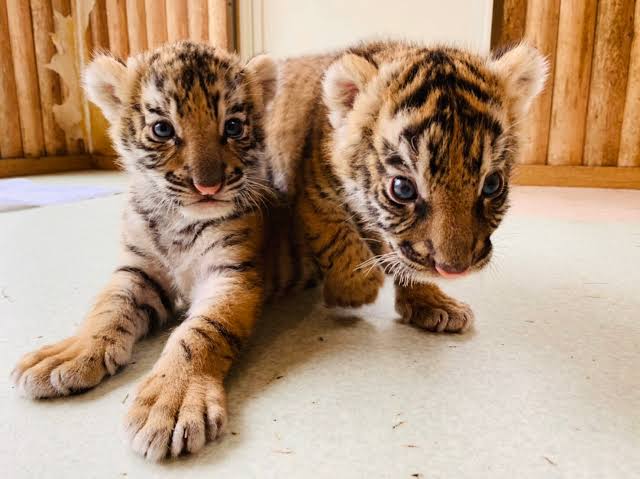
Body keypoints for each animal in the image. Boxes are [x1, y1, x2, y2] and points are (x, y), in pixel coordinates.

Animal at [11, 41, 316, 461]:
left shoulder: (231, 275)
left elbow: (202, 332)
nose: (208, 186)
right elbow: (106, 309)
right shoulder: (138, 270)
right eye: (163, 129)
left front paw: (170, 404)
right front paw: (69, 354)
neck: (177, 220)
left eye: (233, 127)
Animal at [266, 40, 547, 331]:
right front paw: (355, 288)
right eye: (403, 189)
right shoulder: (314, 189)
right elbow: (333, 233)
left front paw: (431, 302)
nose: (453, 270)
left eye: (492, 184)